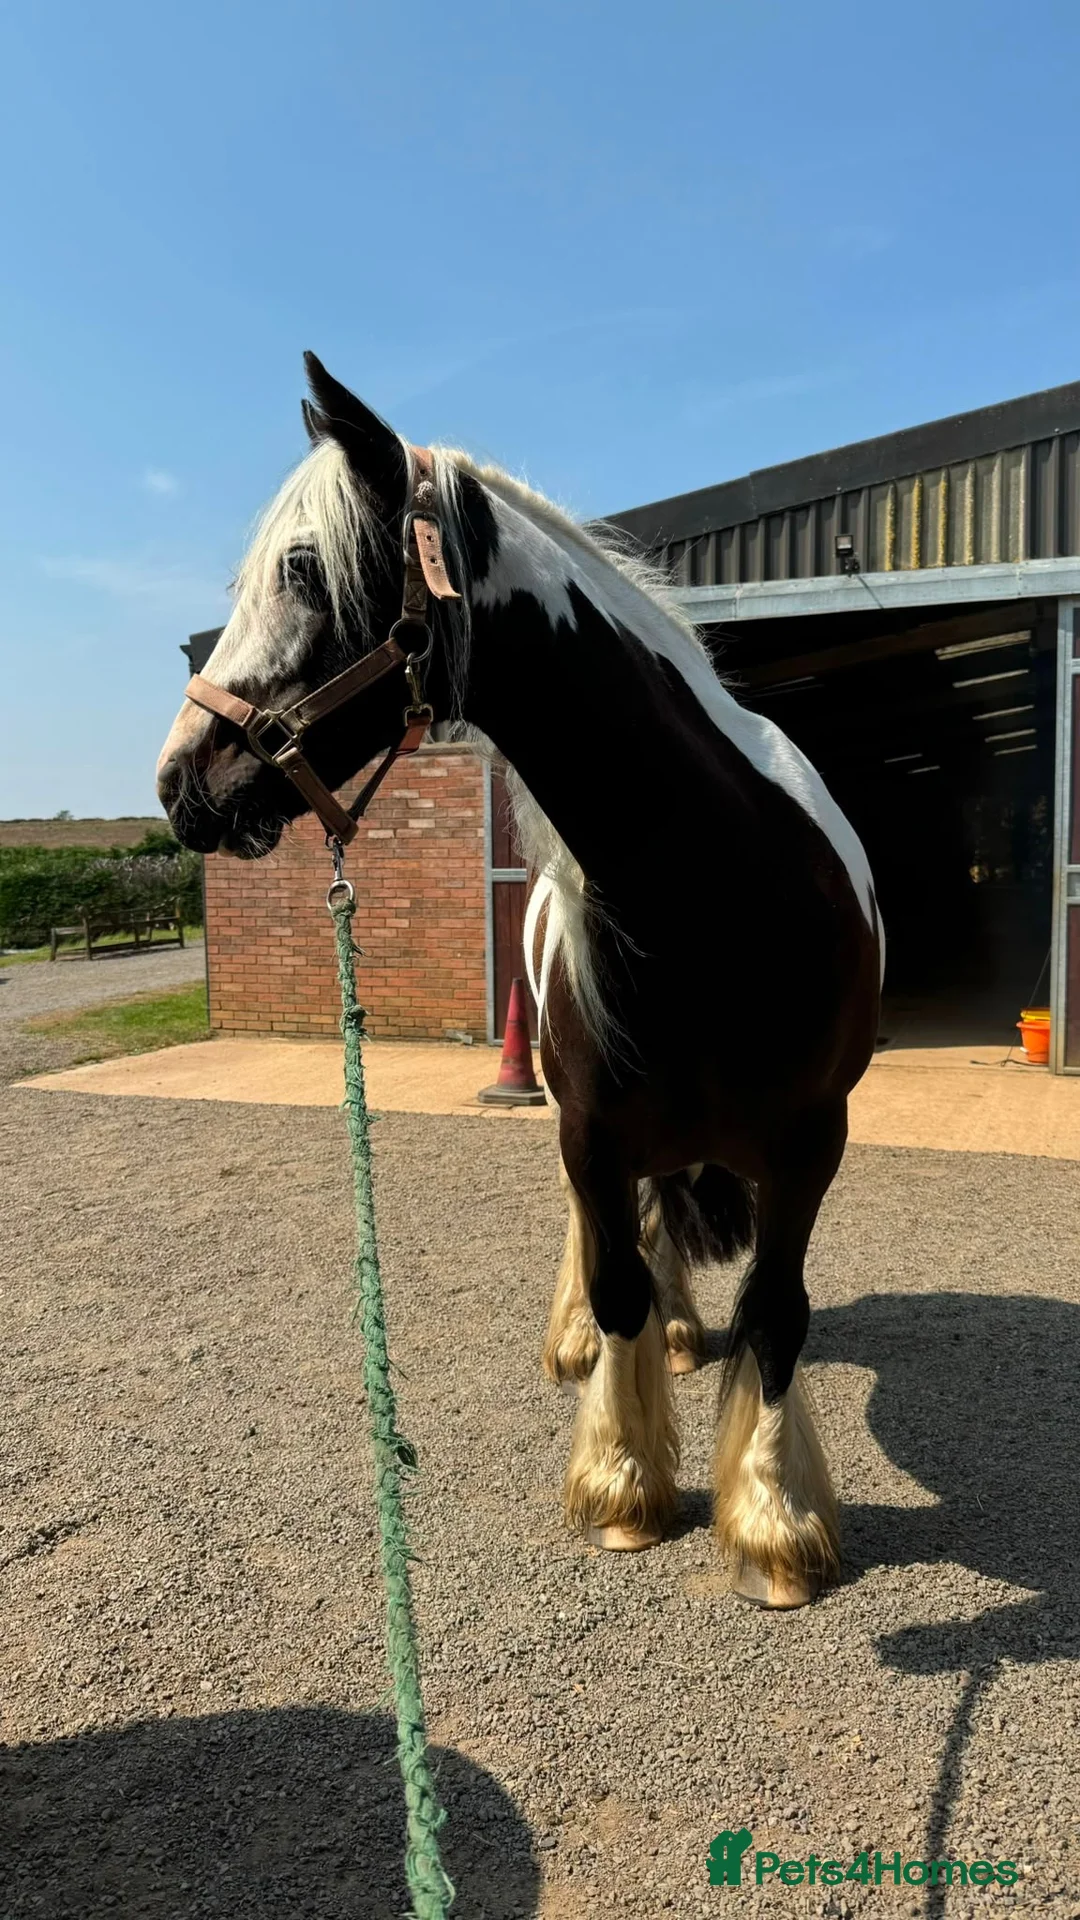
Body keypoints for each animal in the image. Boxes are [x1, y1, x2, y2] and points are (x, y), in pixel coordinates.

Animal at [158, 354, 883, 1609]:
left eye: (300, 569)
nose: (178, 783)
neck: (724, 884)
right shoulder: (589, 1127)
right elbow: (617, 1275)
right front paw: (624, 1485)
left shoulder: (810, 1142)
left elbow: (777, 1313)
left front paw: (773, 1524)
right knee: (613, 1239)